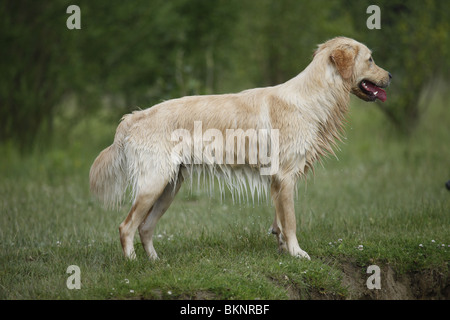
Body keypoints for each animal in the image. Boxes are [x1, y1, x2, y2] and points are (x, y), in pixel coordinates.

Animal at [90, 36, 390, 260]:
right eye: (371, 59)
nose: (390, 75)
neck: (312, 97)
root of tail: (133, 117)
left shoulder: (277, 179)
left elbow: (280, 219)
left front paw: (282, 245)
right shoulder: (286, 175)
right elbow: (291, 220)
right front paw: (297, 252)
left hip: (169, 187)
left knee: (145, 228)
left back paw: (155, 262)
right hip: (154, 183)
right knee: (126, 227)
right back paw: (132, 264)